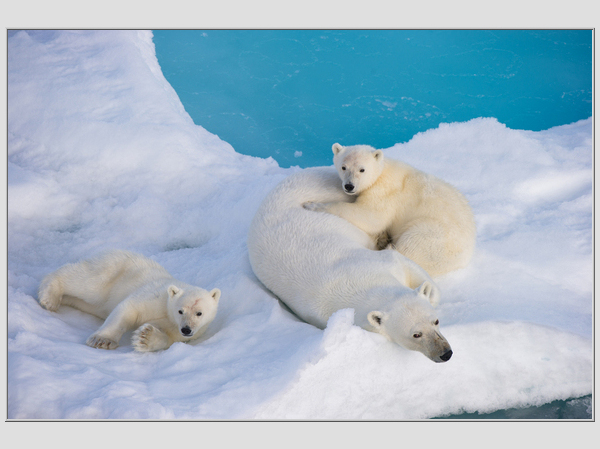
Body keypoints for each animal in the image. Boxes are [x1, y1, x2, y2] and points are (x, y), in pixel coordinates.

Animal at [38, 248, 220, 350]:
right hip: (112, 270)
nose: (187, 329)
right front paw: (102, 340)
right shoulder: (154, 296)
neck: (168, 312)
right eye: (180, 310)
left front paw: (145, 337)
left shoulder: (176, 330)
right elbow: (128, 308)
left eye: (199, 313)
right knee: (86, 282)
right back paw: (50, 297)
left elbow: (167, 338)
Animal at [246, 167, 452, 360]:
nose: (445, 353)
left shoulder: (383, 262)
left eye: (435, 321)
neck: (361, 282)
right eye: (416, 334)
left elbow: (407, 265)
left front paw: (428, 291)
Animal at [304, 143, 478, 276]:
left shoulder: (385, 192)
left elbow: (371, 217)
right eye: (343, 167)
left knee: (411, 245)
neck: (381, 172)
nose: (349, 186)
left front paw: (312, 205)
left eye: (362, 169)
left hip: (433, 236)